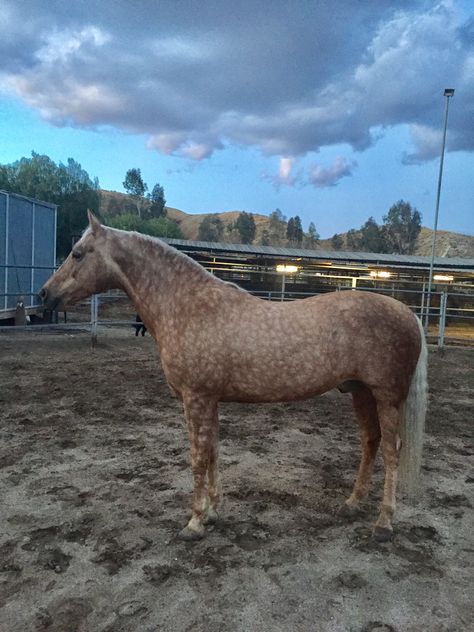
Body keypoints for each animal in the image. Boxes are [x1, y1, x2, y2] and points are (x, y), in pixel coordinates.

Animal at [39, 212, 428, 544]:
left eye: (77, 254)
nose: (45, 294)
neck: (186, 306)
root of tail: (408, 312)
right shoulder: (207, 400)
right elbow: (212, 451)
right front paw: (213, 512)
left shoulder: (196, 398)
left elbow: (198, 456)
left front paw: (194, 523)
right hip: (360, 392)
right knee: (370, 442)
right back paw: (352, 504)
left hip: (386, 396)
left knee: (391, 449)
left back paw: (383, 523)